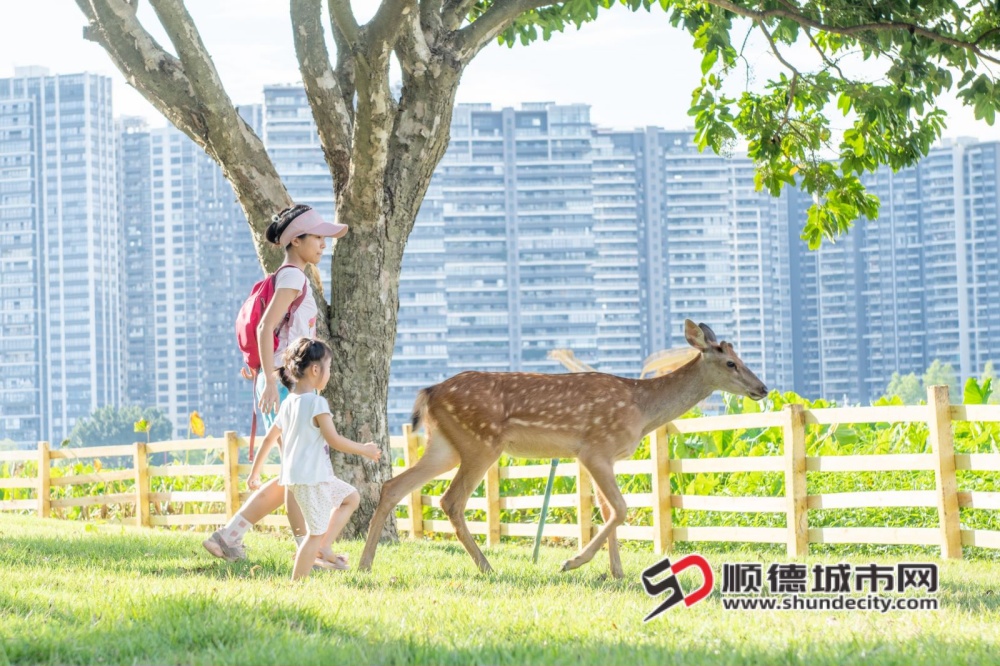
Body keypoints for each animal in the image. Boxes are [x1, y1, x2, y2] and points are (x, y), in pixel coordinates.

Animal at [358, 319, 768, 579]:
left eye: (742, 359)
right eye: (731, 363)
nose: (762, 388)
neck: (641, 409)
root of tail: (429, 392)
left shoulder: (596, 456)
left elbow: (608, 510)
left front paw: (616, 573)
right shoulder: (596, 449)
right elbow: (621, 508)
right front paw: (574, 562)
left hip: (445, 444)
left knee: (393, 486)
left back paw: (365, 564)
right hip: (481, 442)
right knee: (450, 500)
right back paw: (487, 567)